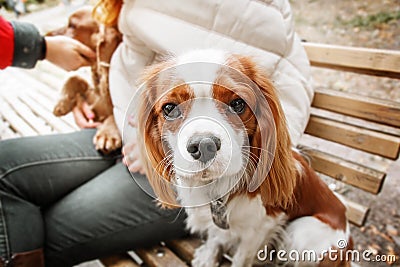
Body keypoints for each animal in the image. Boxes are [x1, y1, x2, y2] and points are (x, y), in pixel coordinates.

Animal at [48, 6, 122, 154]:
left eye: (72, 25)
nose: (45, 35)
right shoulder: (96, 101)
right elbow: (74, 77)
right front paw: (61, 104)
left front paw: (107, 134)